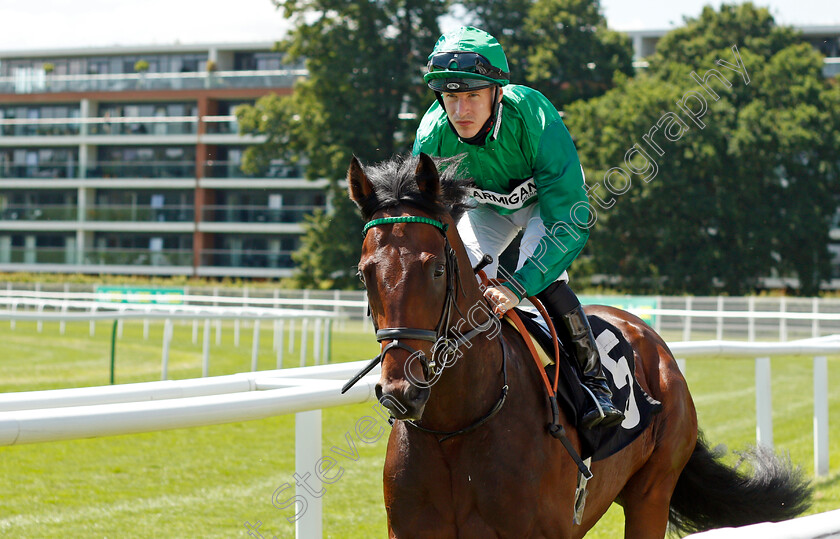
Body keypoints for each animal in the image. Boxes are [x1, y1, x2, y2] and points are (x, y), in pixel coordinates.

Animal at [344, 153, 812, 539]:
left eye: (438, 269)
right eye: (364, 272)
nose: (401, 391)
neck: (455, 427)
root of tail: (653, 342)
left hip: (652, 493)